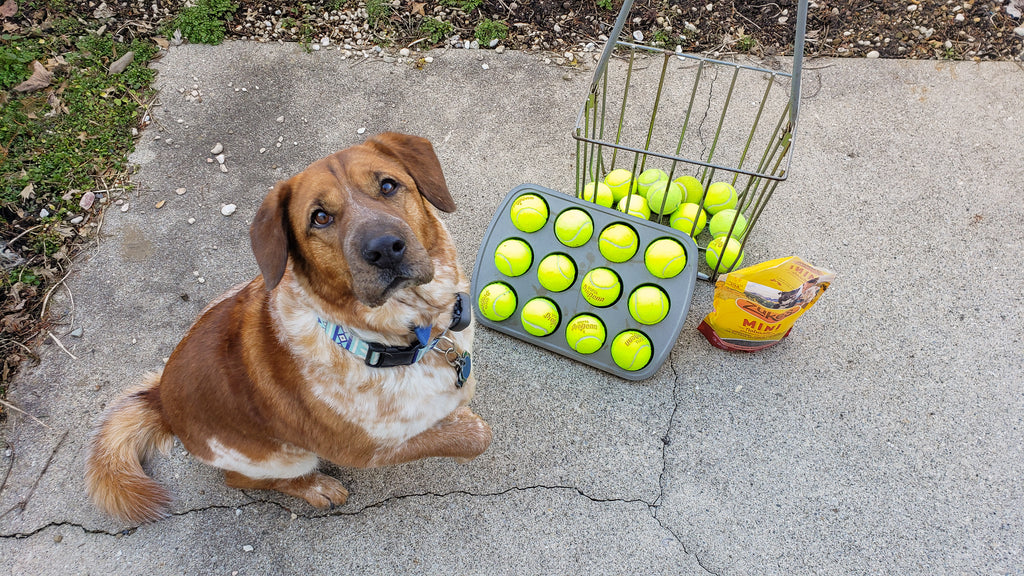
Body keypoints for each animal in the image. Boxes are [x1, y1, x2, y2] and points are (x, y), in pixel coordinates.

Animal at [83, 131, 491, 520]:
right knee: (241, 479)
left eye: (388, 185)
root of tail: (161, 401)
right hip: (287, 456)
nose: (385, 248)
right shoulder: (365, 449)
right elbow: (475, 434)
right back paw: (316, 488)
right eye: (320, 217)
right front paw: (460, 429)